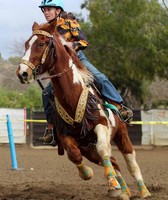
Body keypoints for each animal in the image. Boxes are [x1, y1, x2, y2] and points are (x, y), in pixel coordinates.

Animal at [16, 20, 151, 200]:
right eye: (26, 44)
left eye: (41, 43)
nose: (22, 72)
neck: (72, 96)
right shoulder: (65, 135)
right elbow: (74, 155)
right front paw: (91, 175)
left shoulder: (101, 125)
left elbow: (103, 149)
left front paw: (113, 184)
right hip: (88, 149)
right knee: (113, 161)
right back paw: (123, 191)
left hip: (122, 135)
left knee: (130, 163)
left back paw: (143, 191)